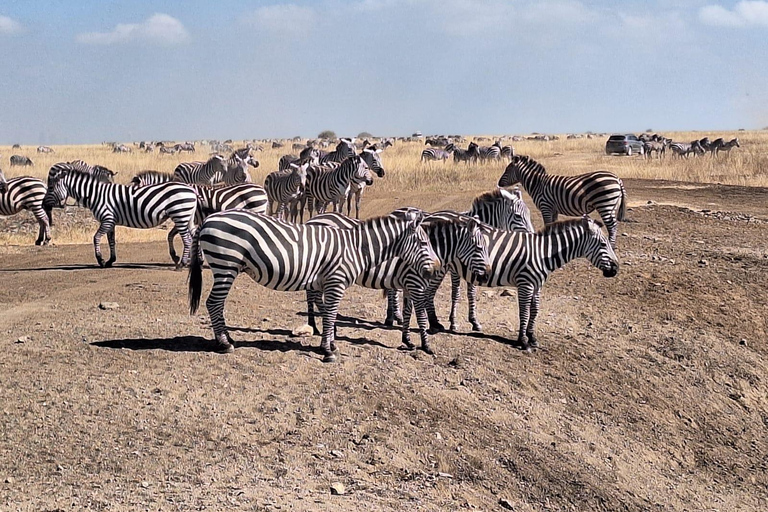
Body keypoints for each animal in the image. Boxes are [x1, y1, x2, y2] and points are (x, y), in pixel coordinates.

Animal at [41, 165, 198, 270]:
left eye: (51, 188)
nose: (43, 204)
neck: (96, 195)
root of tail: (191, 190)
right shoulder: (111, 222)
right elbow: (112, 241)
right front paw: (111, 261)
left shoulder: (107, 219)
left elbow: (96, 238)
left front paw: (101, 260)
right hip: (187, 217)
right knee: (192, 237)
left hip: (180, 215)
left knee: (187, 239)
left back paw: (181, 264)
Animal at [187, 208, 440, 360]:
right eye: (422, 242)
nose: (434, 269)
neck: (355, 248)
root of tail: (208, 219)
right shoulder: (336, 281)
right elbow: (330, 314)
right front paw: (328, 350)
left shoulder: (324, 283)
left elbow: (328, 312)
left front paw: (329, 344)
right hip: (225, 265)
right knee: (213, 303)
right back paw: (224, 344)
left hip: (225, 267)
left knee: (216, 304)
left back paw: (228, 339)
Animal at [304, 210, 488, 354]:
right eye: (479, 248)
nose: (486, 276)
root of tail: (312, 220)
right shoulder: (415, 284)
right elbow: (420, 316)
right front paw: (426, 345)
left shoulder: (408, 285)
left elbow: (407, 312)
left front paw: (407, 340)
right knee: (313, 297)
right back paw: (317, 327)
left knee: (315, 297)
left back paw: (323, 327)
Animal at [450, 216, 616, 352]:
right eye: (603, 244)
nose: (616, 269)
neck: (542, 254)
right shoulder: (525, 283)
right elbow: (524, 311)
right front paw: (523, 341)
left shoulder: (537, 284)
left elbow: (535, 310)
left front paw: (532, 337)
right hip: (452, 268)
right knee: (454, 294)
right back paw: (452, 324)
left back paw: (473, 323)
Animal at [498, 154, 632, 248]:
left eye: (507, 170)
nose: (498, 184)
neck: (538, 184)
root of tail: (617, 178)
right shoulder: (553, 209)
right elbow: (553, 224)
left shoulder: (545, 206)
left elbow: (547, 224)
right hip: (611, 205)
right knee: (613, 225)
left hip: (605, 204)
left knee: (612, 226)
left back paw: (611, 246)